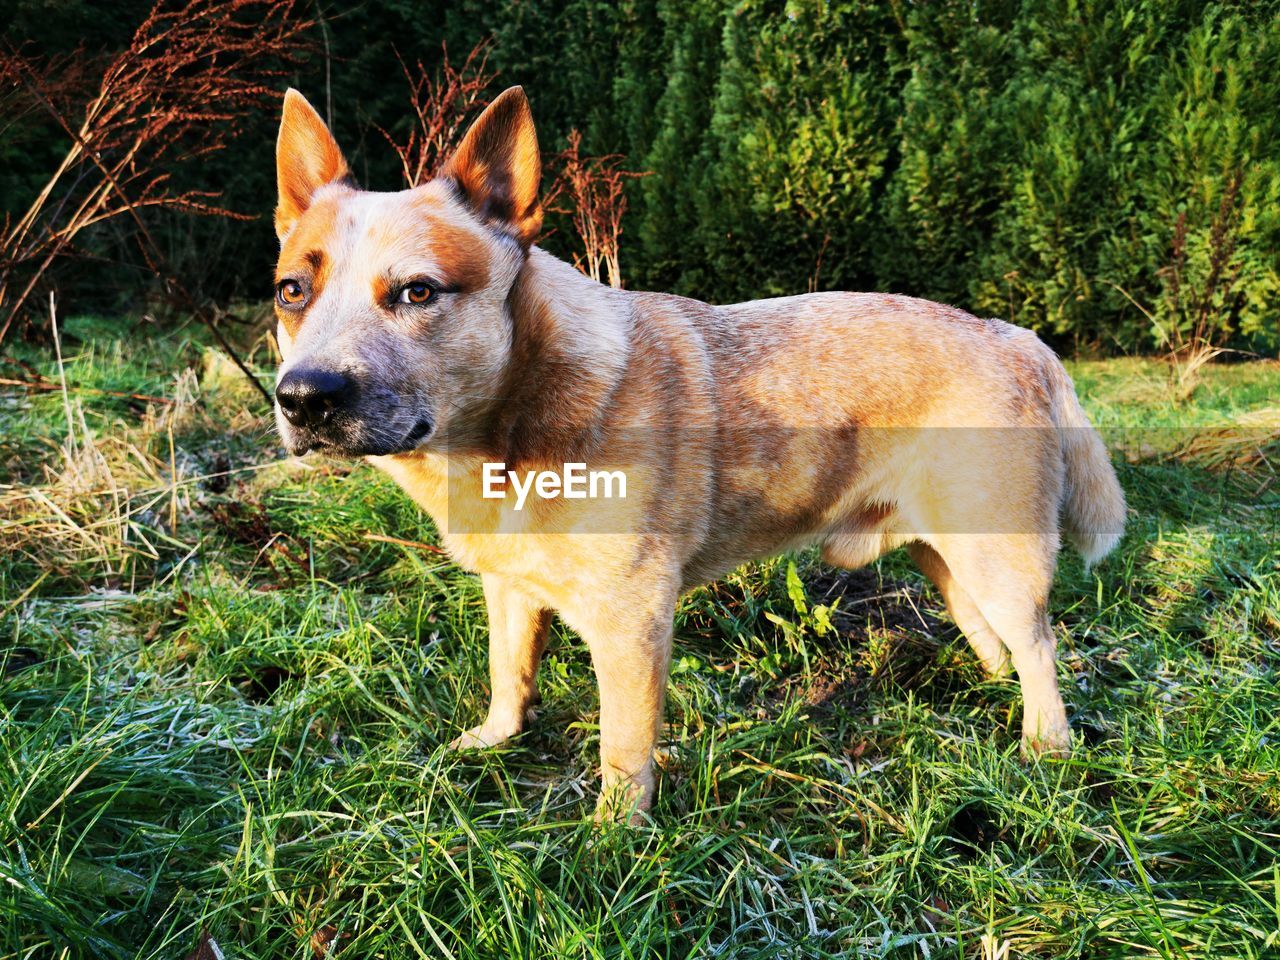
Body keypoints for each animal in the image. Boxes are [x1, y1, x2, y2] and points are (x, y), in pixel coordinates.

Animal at [267, 88, 1121, 819]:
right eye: (290, 292)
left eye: (417, 291)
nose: (303, 397)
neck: (514, 425)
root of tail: (1020, 337)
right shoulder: (509, 587)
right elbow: (509, 674)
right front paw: (493, 741)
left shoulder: (631, 618)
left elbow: (623, 745)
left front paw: (615, 838)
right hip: (943, 551)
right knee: (991, 634)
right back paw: (992, 691)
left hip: (999, 552)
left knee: (1041, 645)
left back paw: (1046, 748)